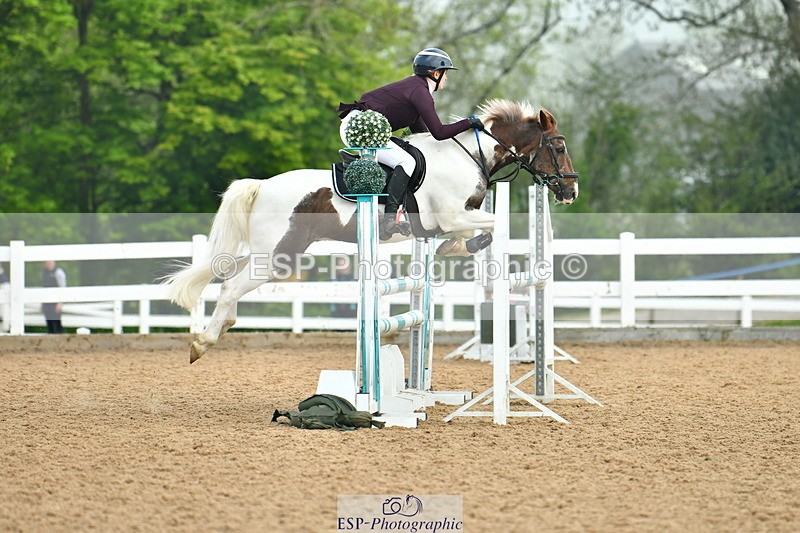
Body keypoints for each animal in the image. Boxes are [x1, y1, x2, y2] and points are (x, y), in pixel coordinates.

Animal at [165, 99, 579, 363]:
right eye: (558, 148)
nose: (571, 191)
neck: (468, 155)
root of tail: (262, 185)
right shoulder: (453, 217)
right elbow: (493, 227)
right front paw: (458, 248)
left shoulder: (453, 219)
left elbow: (483, 232)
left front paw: (452, 250)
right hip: (277, 256)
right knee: (231, 286)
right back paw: (202, 343)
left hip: (268, 252)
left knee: (227, 278)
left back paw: (221, 326)